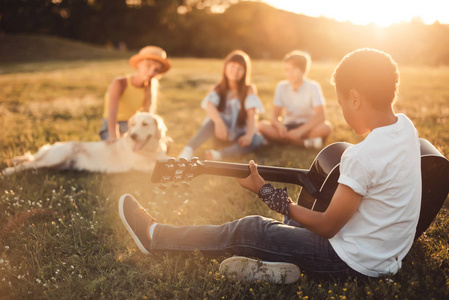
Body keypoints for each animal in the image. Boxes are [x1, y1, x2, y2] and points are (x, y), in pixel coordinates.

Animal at [1, 111, 170, 175]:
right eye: (133, 125)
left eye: (145, 124)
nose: (133, 136)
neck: (150, 150)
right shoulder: (142, 165)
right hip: (55, 157)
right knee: (26, 164)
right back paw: (6, 171)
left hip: (54, 164)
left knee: (30, 161)